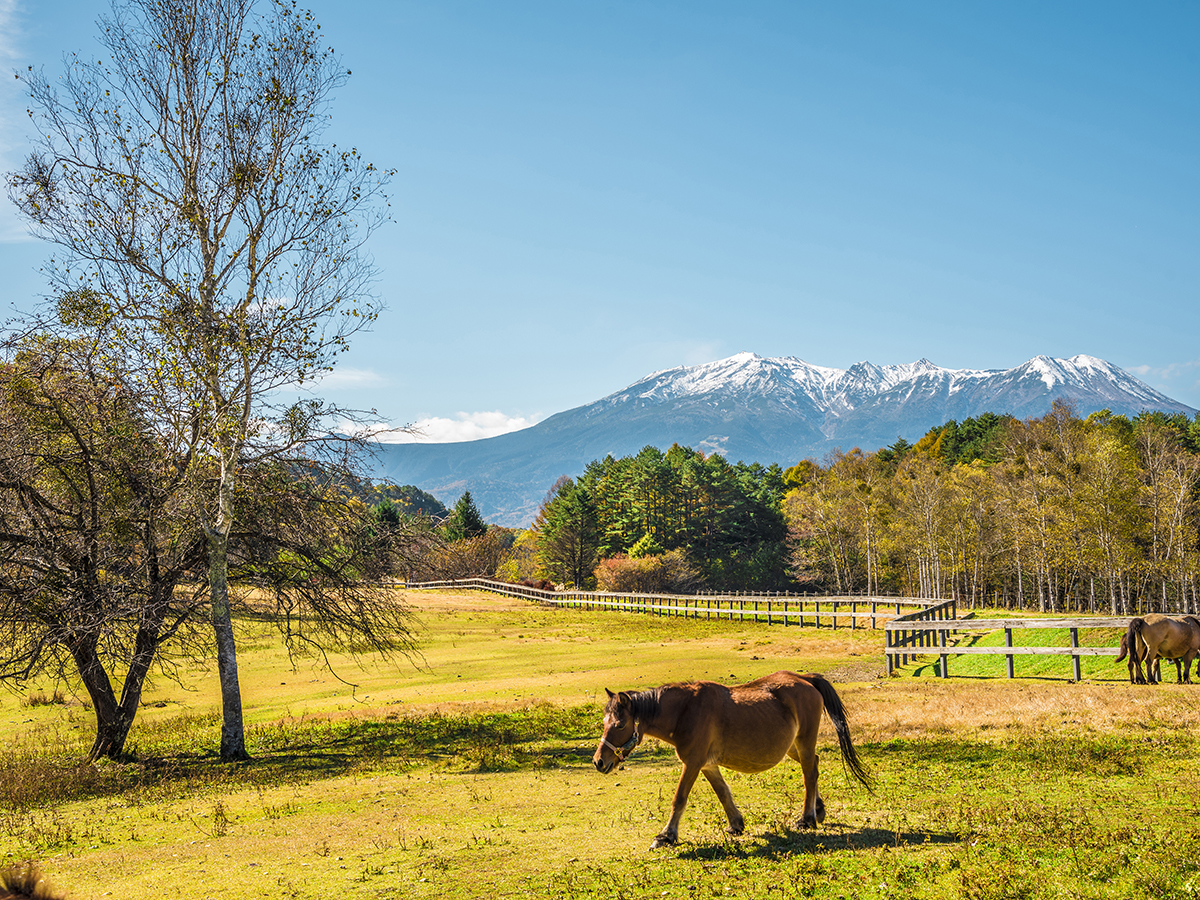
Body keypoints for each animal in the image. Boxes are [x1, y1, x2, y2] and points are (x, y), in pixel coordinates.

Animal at [593, 671, 873, 849]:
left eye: (619, 725)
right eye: (604, 722)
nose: (598, 761)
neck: (685, 712)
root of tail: (805, 680)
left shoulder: (692, 763)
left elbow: (679, 799)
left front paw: (666, 836)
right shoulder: (707, 764)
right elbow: (723, 792)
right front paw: (736, 824)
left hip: (803, 742)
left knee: (810, 774)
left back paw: (806, 818)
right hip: (792, 747)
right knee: (813, 764)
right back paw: (818, 809)